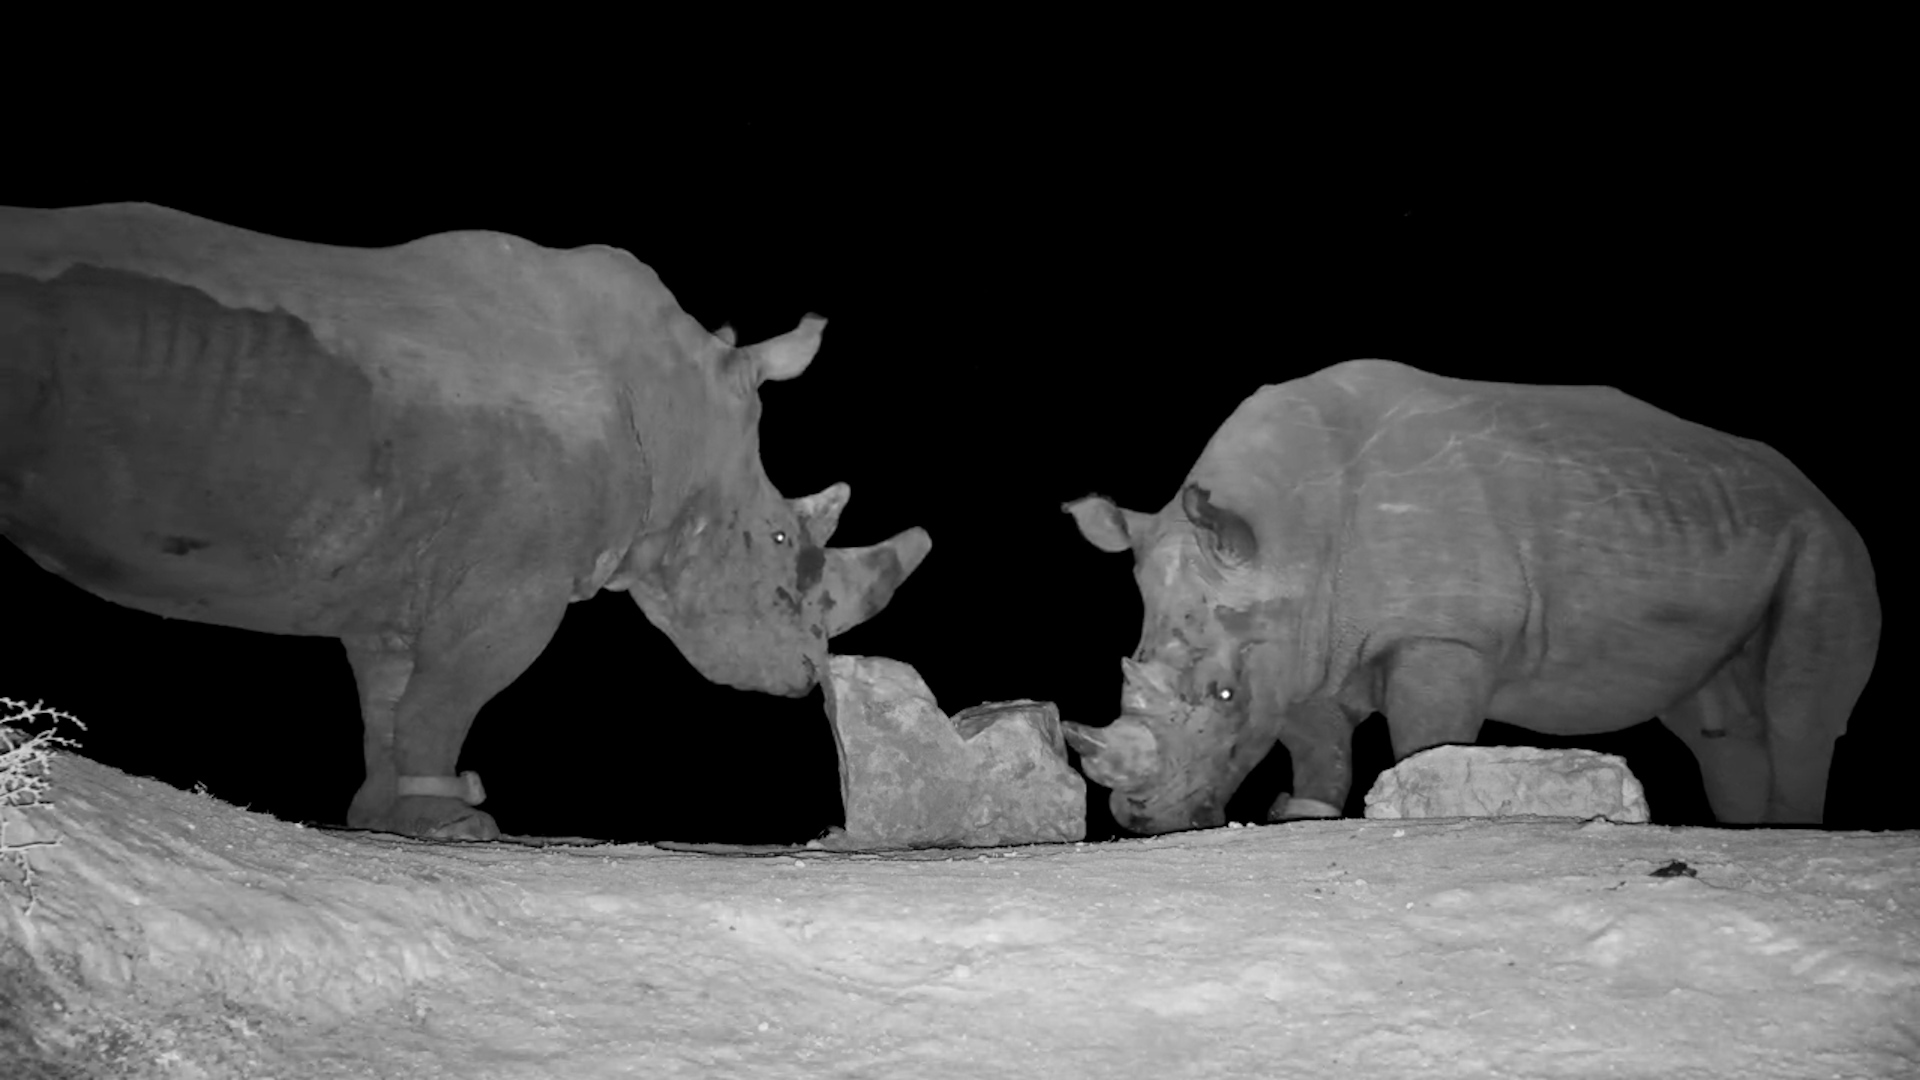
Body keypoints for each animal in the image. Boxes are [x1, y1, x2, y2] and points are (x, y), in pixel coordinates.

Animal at [0, 203, 930, 840]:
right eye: (777, 541)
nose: (808, 678)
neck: (676, 409)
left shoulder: (393, 579)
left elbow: (390, 702)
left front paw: (388, 818)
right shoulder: (516, 582)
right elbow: (449, 695)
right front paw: (454, 823)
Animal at [1062, 360, 1879, 834]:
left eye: (1225, 696)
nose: (1139, 818)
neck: (1286, 534)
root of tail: (1815, 491)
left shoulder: (1446, 636)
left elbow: (1427, 734)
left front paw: (1426, 798)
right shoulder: (1304, 644)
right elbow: (1318, 747)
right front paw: (1304, 814)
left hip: (1827, 546)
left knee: (1794, 707)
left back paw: (1793, 831)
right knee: (1721, 727)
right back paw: (1749, 827)